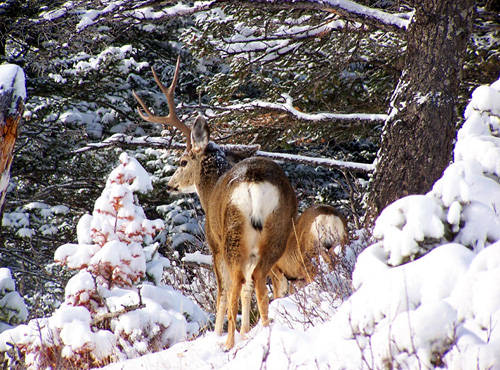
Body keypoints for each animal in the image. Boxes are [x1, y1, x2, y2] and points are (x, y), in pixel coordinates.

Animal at [132, 57, 296, 350]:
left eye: (183, 161)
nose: (170, 184)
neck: (209, 194)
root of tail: (254, 181)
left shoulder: (213, 244)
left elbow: (223, 290)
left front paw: (220, 333)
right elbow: (246, 291)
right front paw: (245, 331)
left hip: (232, 236)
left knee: (237, 284)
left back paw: (229, 342)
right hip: (279, 229)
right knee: (263, 280)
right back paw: (264, 330)